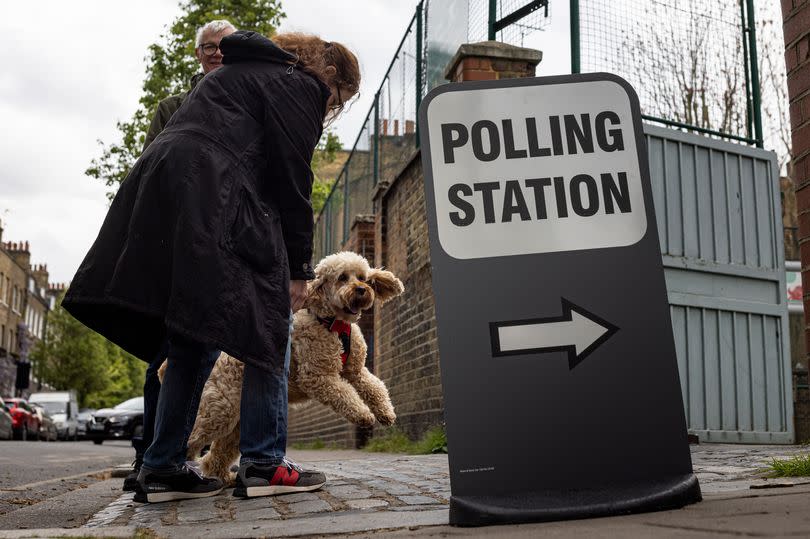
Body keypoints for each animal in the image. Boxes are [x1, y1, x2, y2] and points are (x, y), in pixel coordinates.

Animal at [159, 253, 404, 486]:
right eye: (342, 277)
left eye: (362, 277)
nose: (361, 289)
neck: (331, 323)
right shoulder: (318, 377)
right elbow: (345, 395)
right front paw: (364, 415)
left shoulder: (356, 372)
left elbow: (375, 388)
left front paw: (385, 413)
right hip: (219, 412)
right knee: (191, 439)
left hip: (236, 423)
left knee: (216, 454)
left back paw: (225, 478)